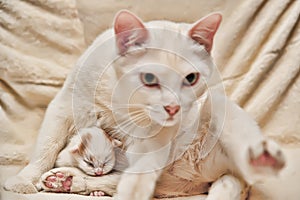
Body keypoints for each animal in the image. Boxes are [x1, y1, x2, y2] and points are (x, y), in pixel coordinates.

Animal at [5, 9, 286, 200]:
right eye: (149, 79)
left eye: (191, 79)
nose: (173, 107)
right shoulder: (64, 106)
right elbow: (46, 148)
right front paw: (24, 180)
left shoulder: (154, 139)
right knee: (112, 180)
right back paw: (64, 180)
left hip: (220, 113)